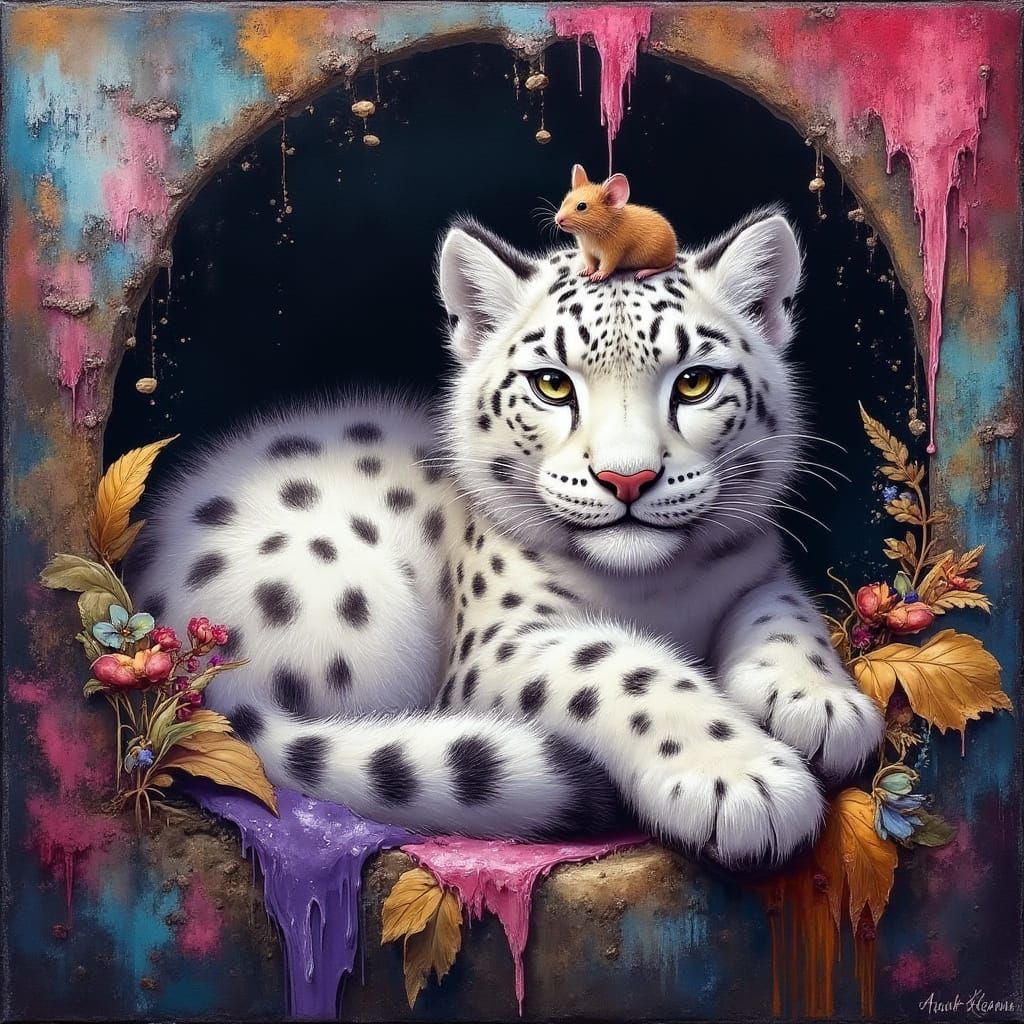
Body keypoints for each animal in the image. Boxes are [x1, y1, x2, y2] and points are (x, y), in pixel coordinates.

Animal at [130, 206, 883, 868]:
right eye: (552, 384)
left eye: (695, 382)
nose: (628, 478)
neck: (658, 588)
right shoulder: (498, 644)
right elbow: (620, 664)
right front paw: (741, 779)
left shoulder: (754, 566)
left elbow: (786, 616)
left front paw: (823, 704)